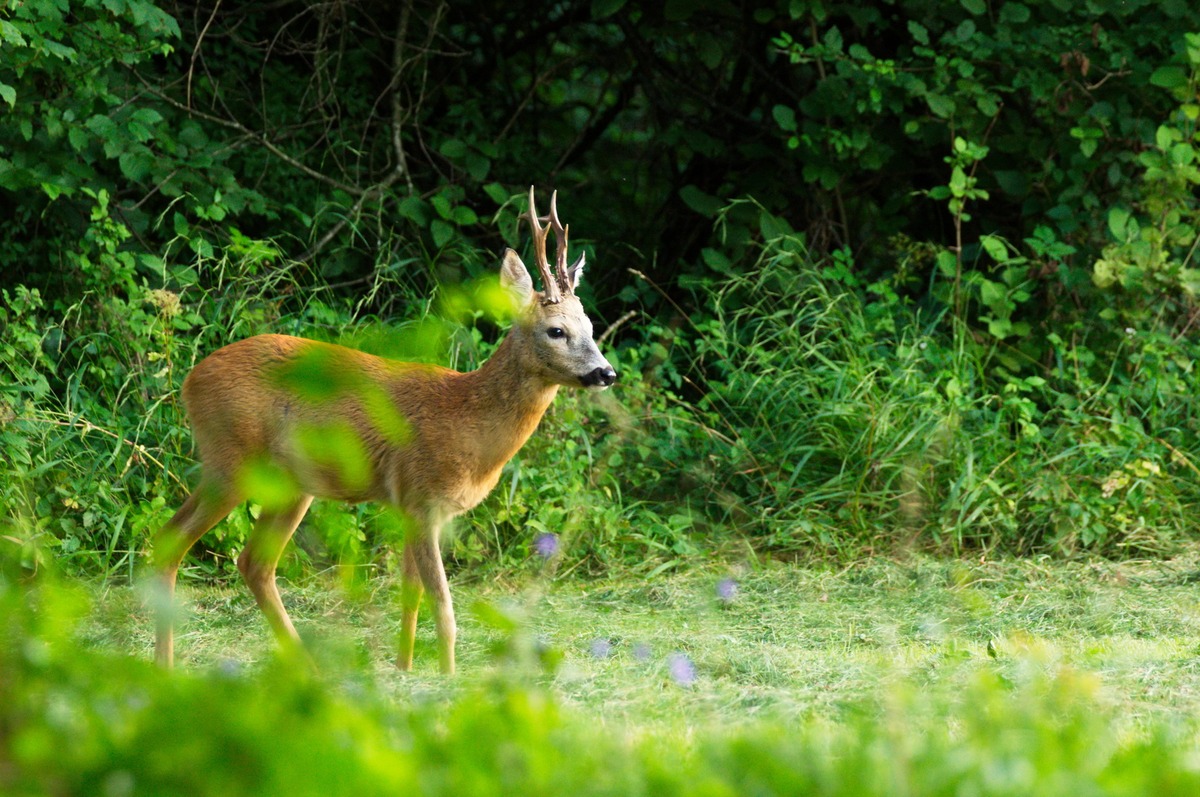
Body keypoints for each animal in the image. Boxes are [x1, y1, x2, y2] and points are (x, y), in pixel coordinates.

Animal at [151, 187, 616, 674]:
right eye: (556, 330)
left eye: (590, 327)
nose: (606, 373)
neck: (465, 422)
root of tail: (189, 380)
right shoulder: (423, 501)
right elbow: (443, 608)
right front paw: (448, 678)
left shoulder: (413, 507)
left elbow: (410, 598)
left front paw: (404, 669)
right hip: (230, 460)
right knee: (170, 542)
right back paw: (165, 665)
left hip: (291, 484)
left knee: (254, 562)